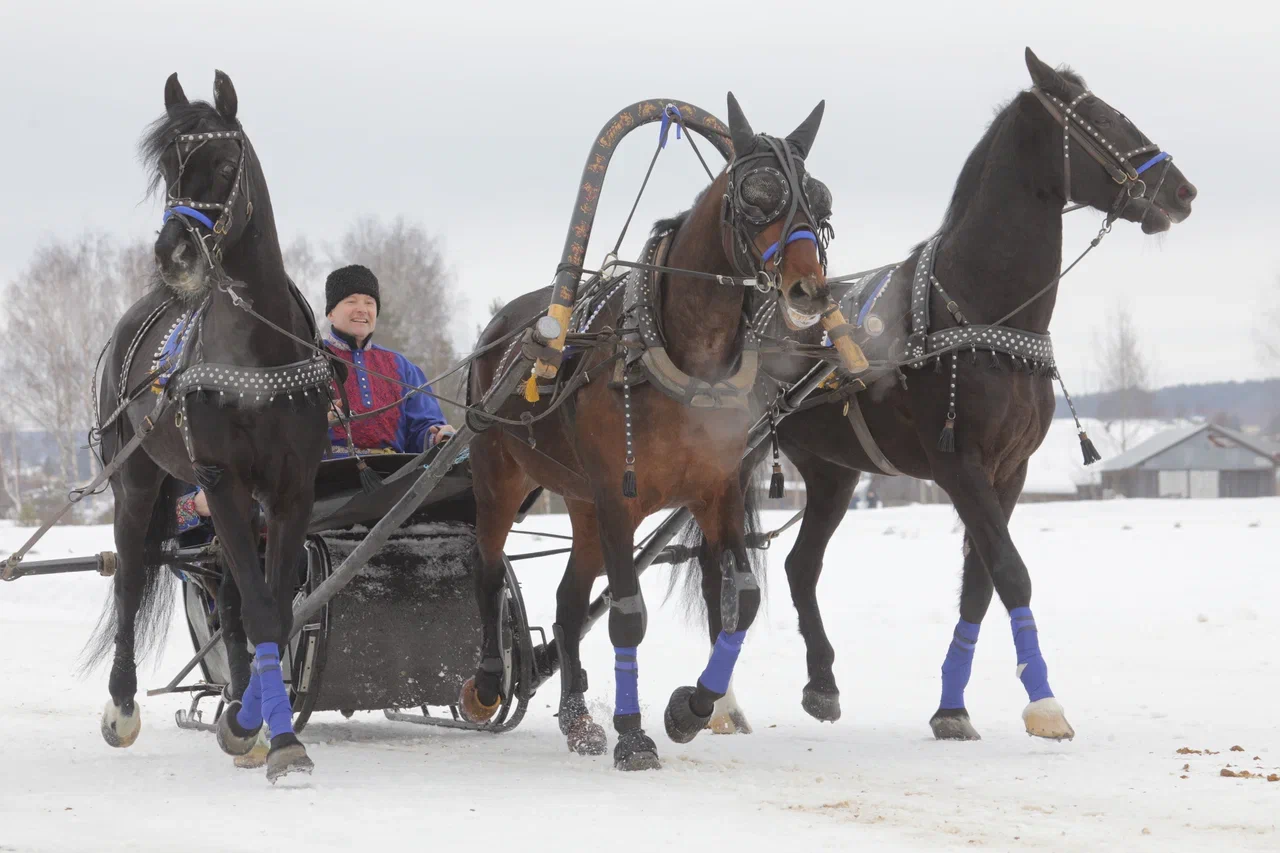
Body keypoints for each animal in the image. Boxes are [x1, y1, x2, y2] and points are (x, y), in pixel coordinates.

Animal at [85, 71, 332, 778]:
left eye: (224, 165)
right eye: (168, 170)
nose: (174, 254)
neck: (257, 352)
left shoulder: (292, 487)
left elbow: (272, 606)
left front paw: (256, 721)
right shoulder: (220, 478)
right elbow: (259, 608)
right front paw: (271, 732)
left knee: (227, 593)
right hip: (138, 482)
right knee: (132, 574)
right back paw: (123, 706)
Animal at [465, 94, 834, 768]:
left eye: (819, 203)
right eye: (757, 195)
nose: (809, 291)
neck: (684, 358)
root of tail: (504, 328)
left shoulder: (716, 492)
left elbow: (741, 601)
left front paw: (691, 708)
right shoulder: (619, 497)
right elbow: (627, 613)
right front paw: (634, 735)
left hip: (581, 505)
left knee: (566, 603)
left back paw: (578, 720)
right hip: (501, 477)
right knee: (487, 566)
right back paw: (485, 684)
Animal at [686, 48, 1192, 737]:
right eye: (1108, 117)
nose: (1181, 190)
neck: (978, 309)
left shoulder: (1009, 470)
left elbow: (980, 582)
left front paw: (952, 706)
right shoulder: (959, 465)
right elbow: (1011, 573)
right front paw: (1044, 702)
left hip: (832, 472)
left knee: (799, 566)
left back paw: (821, 683)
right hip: (732, 462)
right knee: (722, 566)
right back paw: (720, 701)